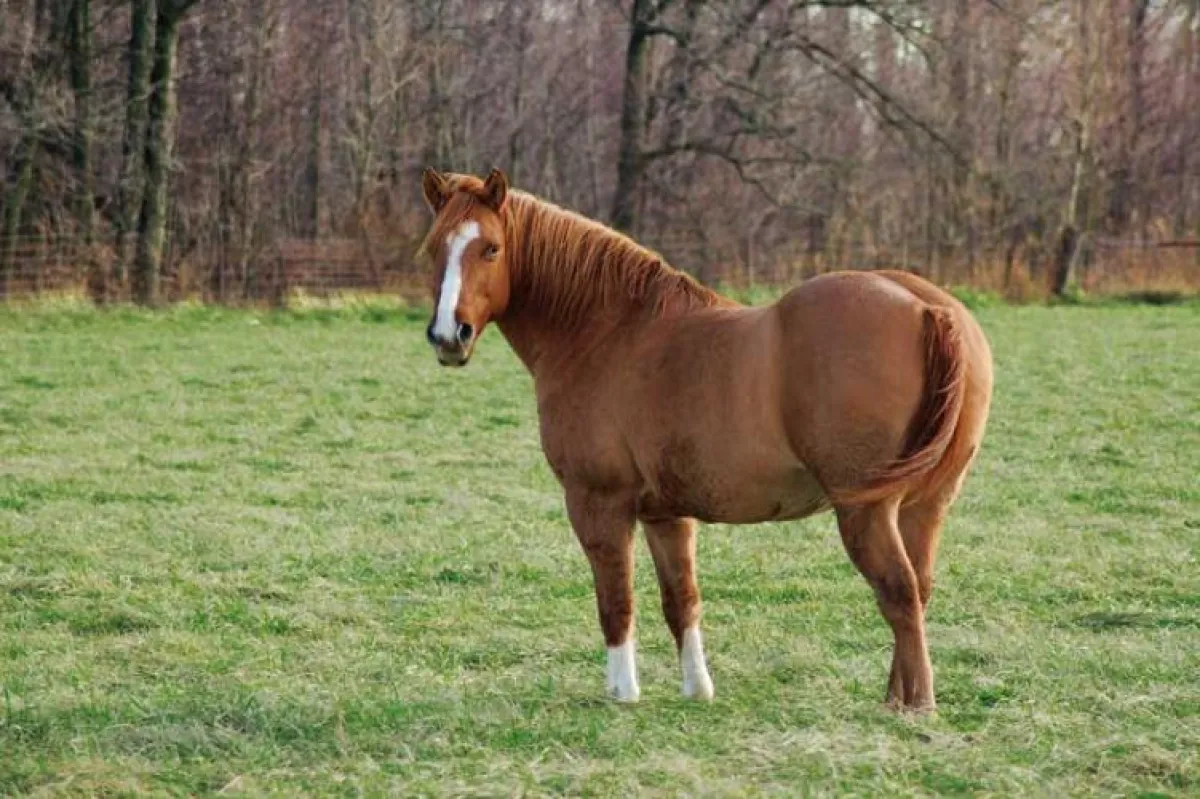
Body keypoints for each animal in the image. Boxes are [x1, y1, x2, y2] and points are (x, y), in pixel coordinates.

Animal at [417, 167, 994, 711]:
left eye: (491, 247)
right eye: (433, 249)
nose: (448, 336)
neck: (608, 332)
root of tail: (927, 309)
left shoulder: (597, 502)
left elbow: (616, 601)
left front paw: (622, 692)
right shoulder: (666, 514)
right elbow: (682, 601)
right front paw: (698, 689)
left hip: (867, 511)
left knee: (898, 592)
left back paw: (916, 706)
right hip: (924, 506)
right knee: (917, 589)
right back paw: (897, 696)